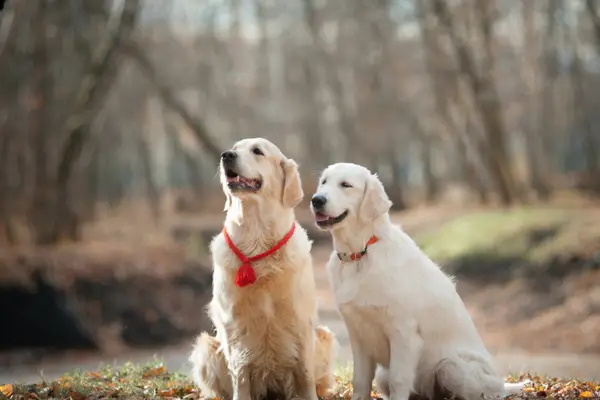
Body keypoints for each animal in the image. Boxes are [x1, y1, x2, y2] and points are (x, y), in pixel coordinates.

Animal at [189, 139, 336, 400]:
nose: (226, 155)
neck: (256, 235)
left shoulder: (300, 319)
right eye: (234, 147)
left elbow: (305, 373)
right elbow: (240, 372)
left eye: (257, 151)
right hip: (206, 347)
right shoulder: (234, 324)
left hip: (324, 336)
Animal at [310, 162, 524, 400]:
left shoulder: (403, 330)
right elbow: (361, 380)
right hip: (389, 374)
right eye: (324, 182)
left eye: (346, 185)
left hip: (451, 367)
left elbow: (399, 379)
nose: (317, 199)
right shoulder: (357, 333)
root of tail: (502, 385)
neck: (360, 253)